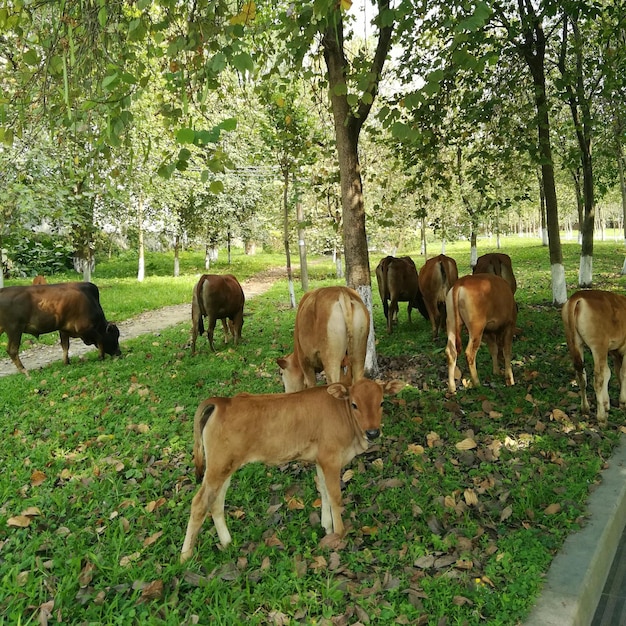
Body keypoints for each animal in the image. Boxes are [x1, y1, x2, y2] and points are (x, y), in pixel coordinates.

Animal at [180, 376, 404, 556]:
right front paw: (339, 534)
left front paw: (326, 527)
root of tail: (223, 401)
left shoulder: (321, 460)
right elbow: (335, 497)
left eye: (382, 402)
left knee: (216, 502)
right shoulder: (331, 459)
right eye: (355, 404)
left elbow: (323, 491)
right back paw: (186, 556)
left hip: (224, 467)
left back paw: (227, 543)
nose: (373, 432)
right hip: (218, 467)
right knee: (199, 503)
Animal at [560, 288, 626, 424]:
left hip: (574, 342)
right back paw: (601, 417)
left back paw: (585, 408)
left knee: (581, 375)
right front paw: (622, 402)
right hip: (598, 345)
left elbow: (615, 372)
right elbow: (622, 372)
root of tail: (577, 297)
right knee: (599, 377)